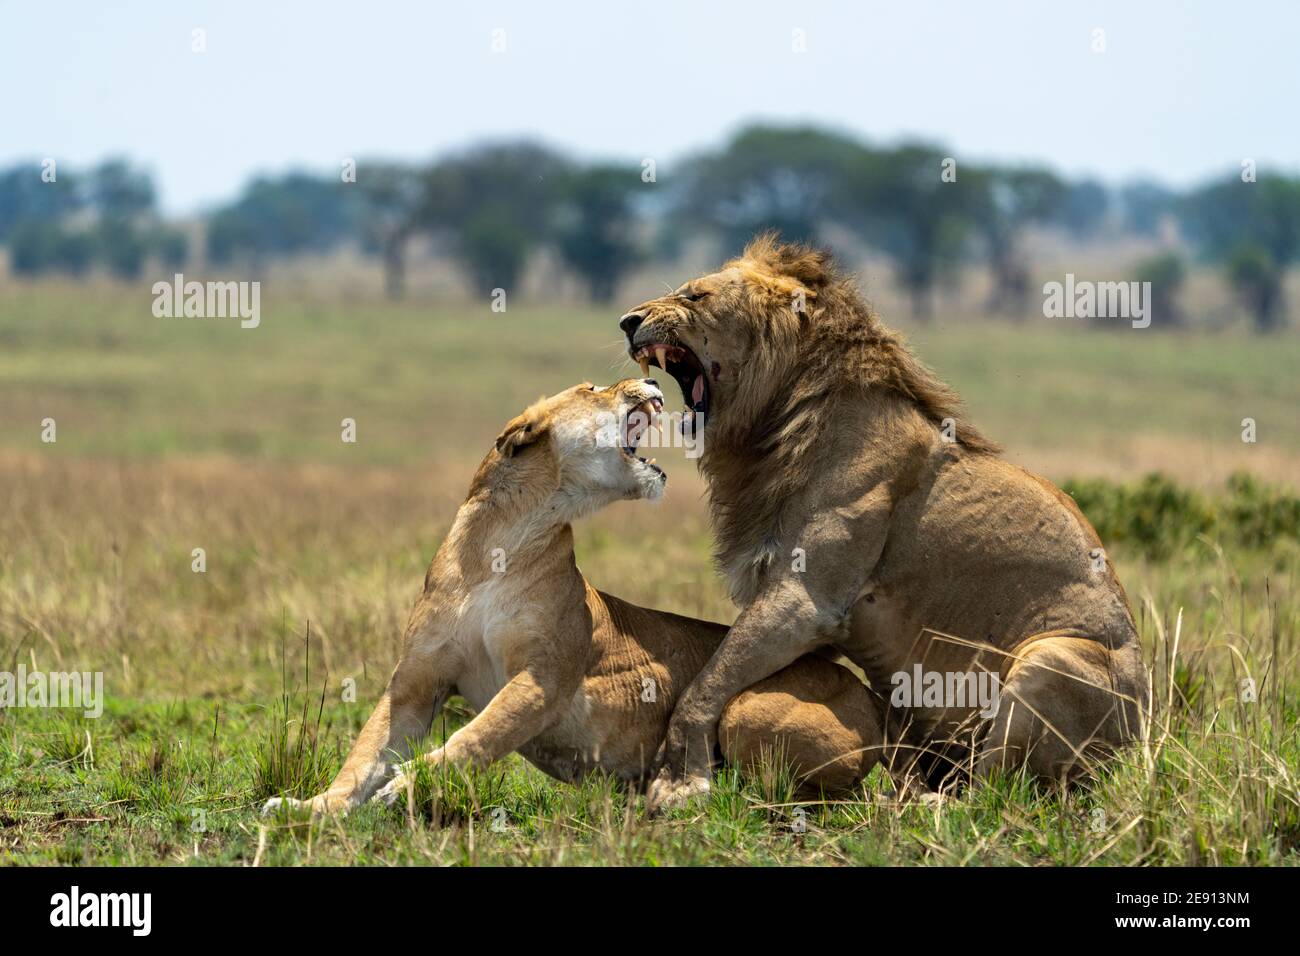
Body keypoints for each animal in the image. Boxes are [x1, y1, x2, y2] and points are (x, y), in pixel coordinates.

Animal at [262, 378, 881, 816]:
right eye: (590, 388)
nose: (648, 380)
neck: (499, 547)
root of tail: (876, 699)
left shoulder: (544, 678)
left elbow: (473, 737)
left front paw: (408, 784)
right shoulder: (415, 683)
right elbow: (363, 754)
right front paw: (308, 807)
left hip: (744, 708)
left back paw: (682, 795)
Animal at [618, 234, 1151, 811]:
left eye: (695, 295)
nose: (627, 321)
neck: (777, 424)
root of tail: (1141, 746)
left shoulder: (804, 599)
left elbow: (707, 681)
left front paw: (678, 783)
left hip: (1053, 658)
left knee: (993, 794)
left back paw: (916, 805)